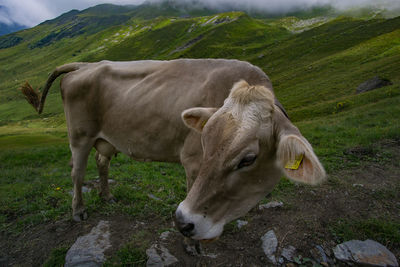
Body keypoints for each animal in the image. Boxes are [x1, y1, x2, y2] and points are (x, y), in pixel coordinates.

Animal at [21, 59, 324, 243]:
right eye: (205, 143)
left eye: (248, 159)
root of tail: (86, 64)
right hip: (79, 136)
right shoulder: (192, 161)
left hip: (106, 139)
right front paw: (193, 243)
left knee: (102, 162)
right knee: (77, 173)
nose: (182, 222)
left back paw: (107, 196)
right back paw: (78, 210)